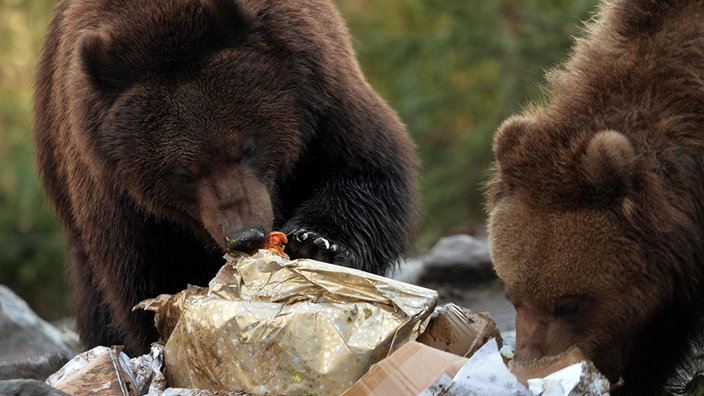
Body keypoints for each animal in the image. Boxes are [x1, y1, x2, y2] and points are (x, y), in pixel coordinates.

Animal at [33, 0, 418, 356]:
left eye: (247, 146)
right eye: (184, 173)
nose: (245, 235)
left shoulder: (319, 94)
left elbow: (366, 169)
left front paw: (317, 242)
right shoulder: (119, 193)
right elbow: (148, 272)